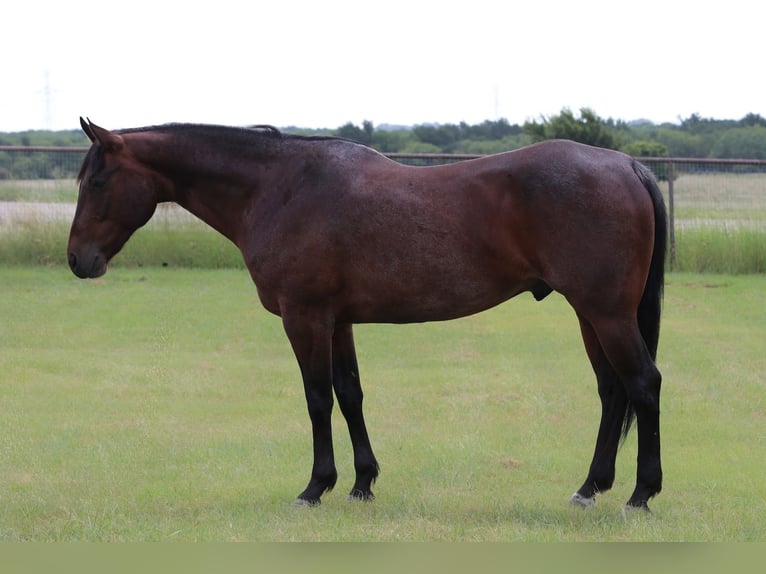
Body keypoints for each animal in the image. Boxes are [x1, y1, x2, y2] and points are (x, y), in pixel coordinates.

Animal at [68, 118, 666, 510]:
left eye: (97, 182)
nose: (78, 260)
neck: (280, 188)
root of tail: (628, 165)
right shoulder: (339, 321)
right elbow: (350, 393)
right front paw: (362, 483)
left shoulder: (304, 317)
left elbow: (317, 398)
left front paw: (316, 487)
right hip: (592, 315)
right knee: (612, 391)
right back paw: (590, 488)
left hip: (607, 314)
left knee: (643, 383)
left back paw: (641, 494)